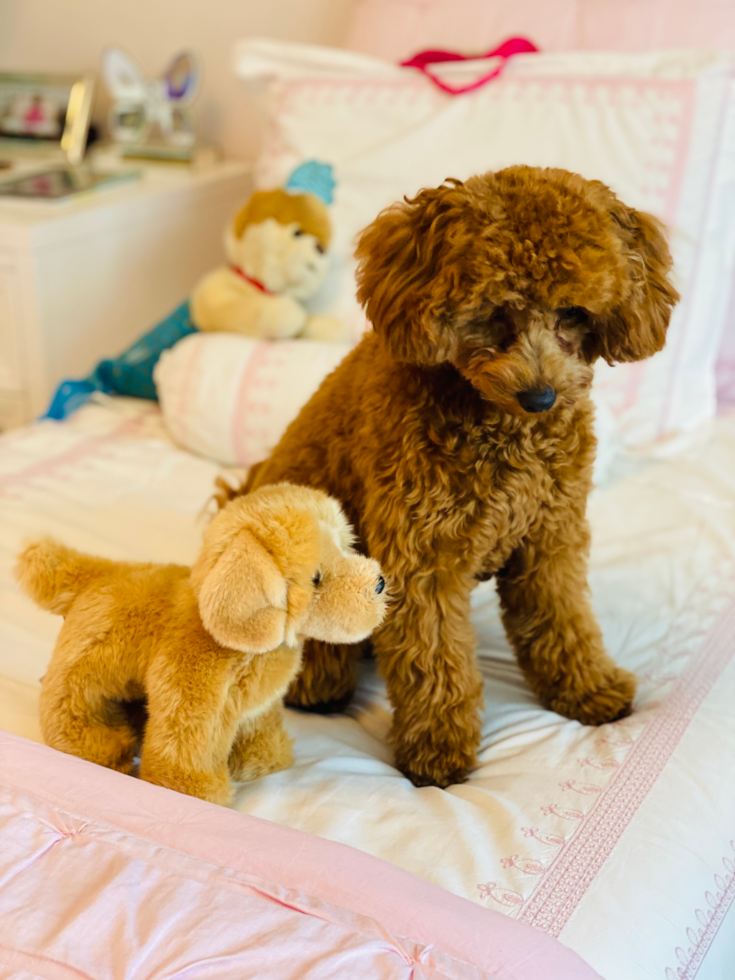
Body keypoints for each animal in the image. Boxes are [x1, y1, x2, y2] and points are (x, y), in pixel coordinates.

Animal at [221, 163, 680, 788]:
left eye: (573, 313)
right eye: (494, 313)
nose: (541, 397)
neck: (504, 430)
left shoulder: (549, 540)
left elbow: (564, 619)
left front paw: (588, 688)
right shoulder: (421, 559)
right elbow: (435, 661)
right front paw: (438, 752)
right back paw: (320, 681)